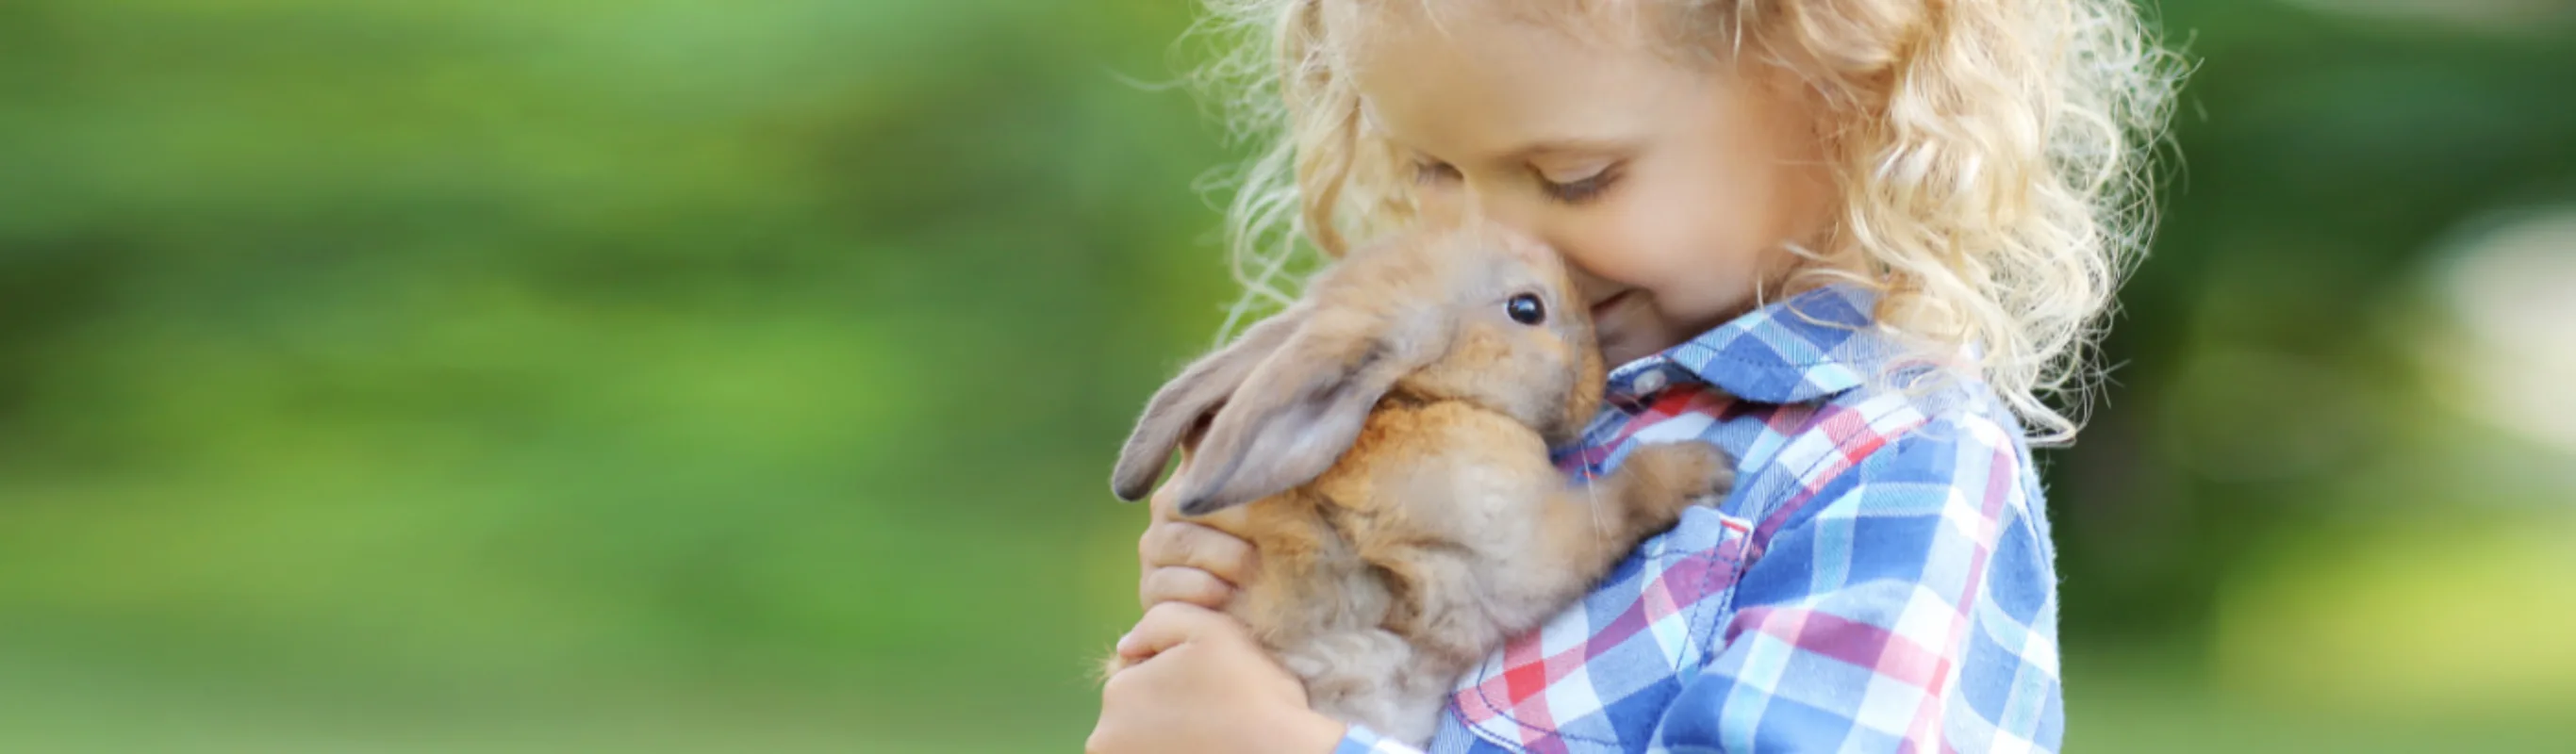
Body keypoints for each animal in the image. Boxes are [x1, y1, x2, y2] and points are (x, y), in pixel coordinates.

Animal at [1107, 220, 1730, 741]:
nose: (1598, 375)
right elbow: (1618, 499)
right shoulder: (1515, 550)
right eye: (1526, 308)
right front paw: (1701, 468)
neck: (1424, 397)